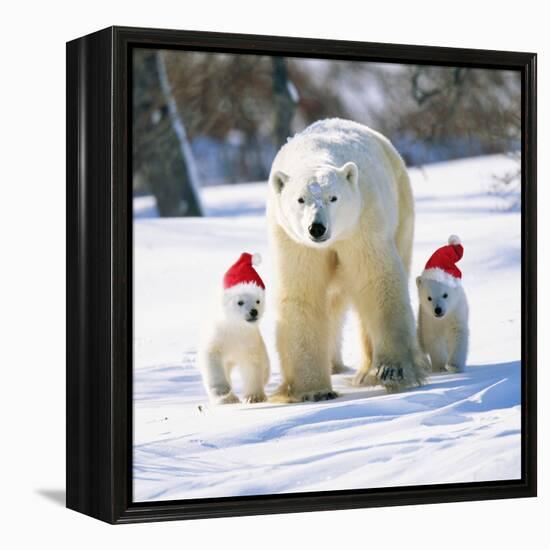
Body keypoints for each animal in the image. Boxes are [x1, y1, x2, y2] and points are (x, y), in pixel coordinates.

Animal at [201, 254, 272, 406]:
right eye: (240, 302)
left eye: (258, 301)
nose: (253, 312)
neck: (235, 327)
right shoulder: (217, 337)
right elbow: (212, 358)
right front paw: (222, 392)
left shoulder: (249, 341)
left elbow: (252, 365)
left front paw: (253, 397)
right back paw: (229, 399)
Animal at [268, 118, 432, 402]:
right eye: (300, 199)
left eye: (333, 197)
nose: (317, 228)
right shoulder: (293, 241)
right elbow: (302, 293)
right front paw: (314, 390)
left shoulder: (362, 222)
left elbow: (376, 280)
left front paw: (393, 370)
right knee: (332, 303)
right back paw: (335, 366)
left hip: (401, 207)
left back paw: (366, 372)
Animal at [418, 235, 470, 374]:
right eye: (429, 298)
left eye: (445, 295)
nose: (438, 310)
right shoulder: (429, 320)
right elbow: (434, 341)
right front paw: (440, 367)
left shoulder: (456, 313)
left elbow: (458, 335)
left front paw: (454, 365)